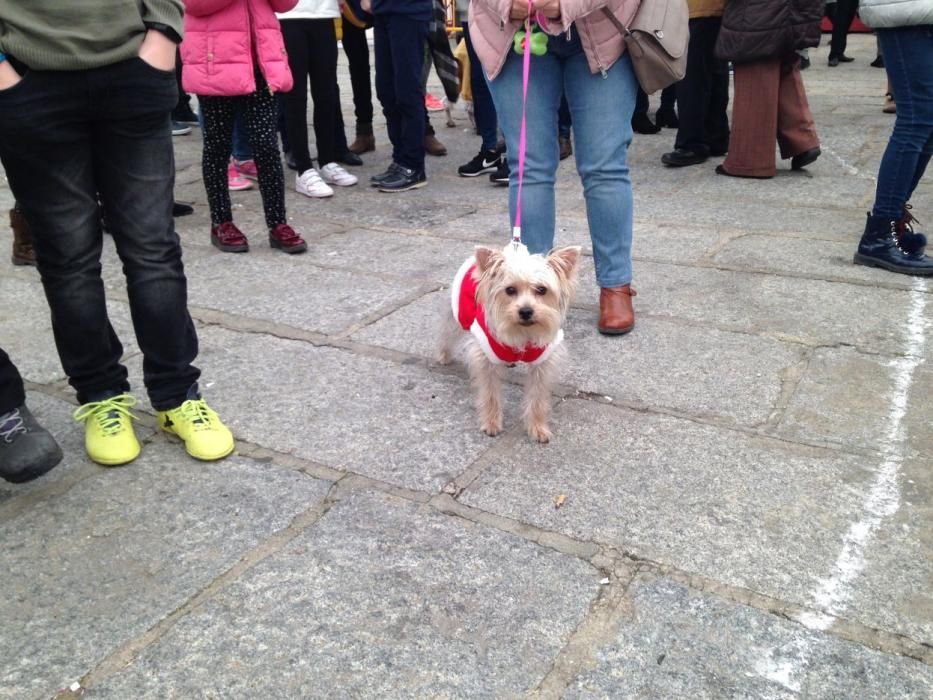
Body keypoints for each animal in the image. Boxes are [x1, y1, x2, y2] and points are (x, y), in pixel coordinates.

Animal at [436, 243, 576, 442]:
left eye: (542, 290)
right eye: (510, 290)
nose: (526, 311)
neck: (522, 332)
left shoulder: (543, 362)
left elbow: (538, 397)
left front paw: (537, 426)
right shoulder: (485, 358)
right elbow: (490, 394)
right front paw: (491, 422)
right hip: (458, 313)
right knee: (446, 332)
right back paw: (443, 355)